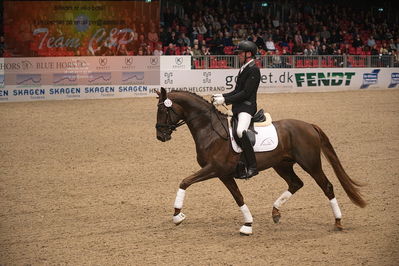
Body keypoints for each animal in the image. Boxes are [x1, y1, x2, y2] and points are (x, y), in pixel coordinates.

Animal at [155, 89, 366, 235]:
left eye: (163, 109)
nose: (160, 136)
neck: (211, 130)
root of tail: (309, 126)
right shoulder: (223, 174)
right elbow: (238, 197)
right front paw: (248, 224)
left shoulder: (215, 169)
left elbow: (185, 182)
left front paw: (177, 216)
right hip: (282, 165)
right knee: (296, 183)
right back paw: (275, 212)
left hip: (311, 164)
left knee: (327, 186)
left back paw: (338, 222)